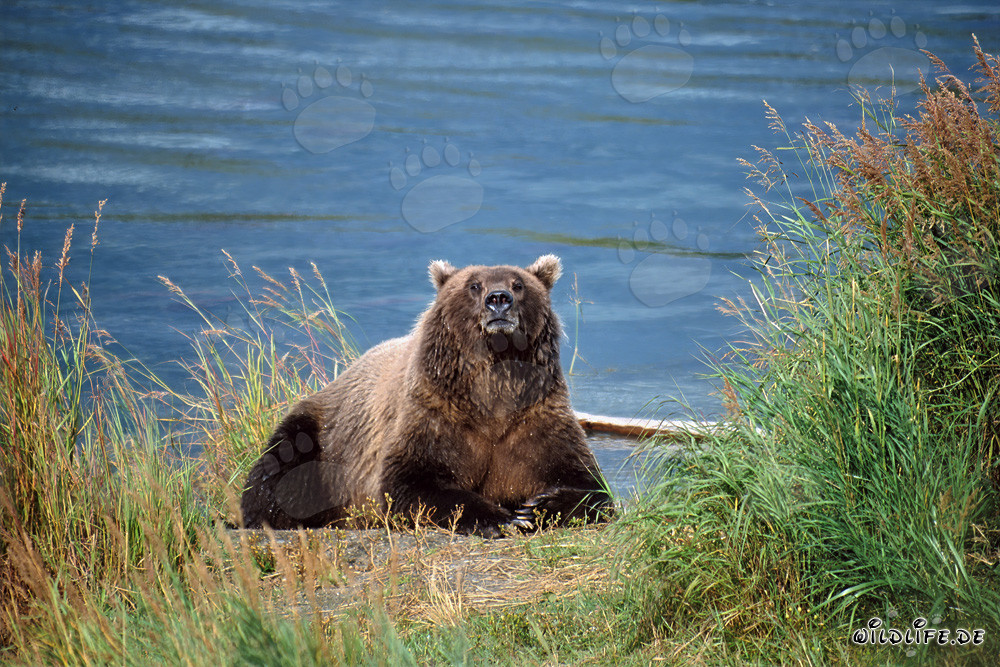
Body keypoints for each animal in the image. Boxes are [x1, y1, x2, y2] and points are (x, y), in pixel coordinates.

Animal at [239, 255, 613, 537]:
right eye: (473, 285)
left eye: (518, 284)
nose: (498, 299)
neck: (493, 390)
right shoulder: (435, 414)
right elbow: (410, 484)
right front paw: (496, 518)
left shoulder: (535, 417)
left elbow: (589, 485)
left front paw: (538, 507)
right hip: (320, 433)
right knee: (280, 469)